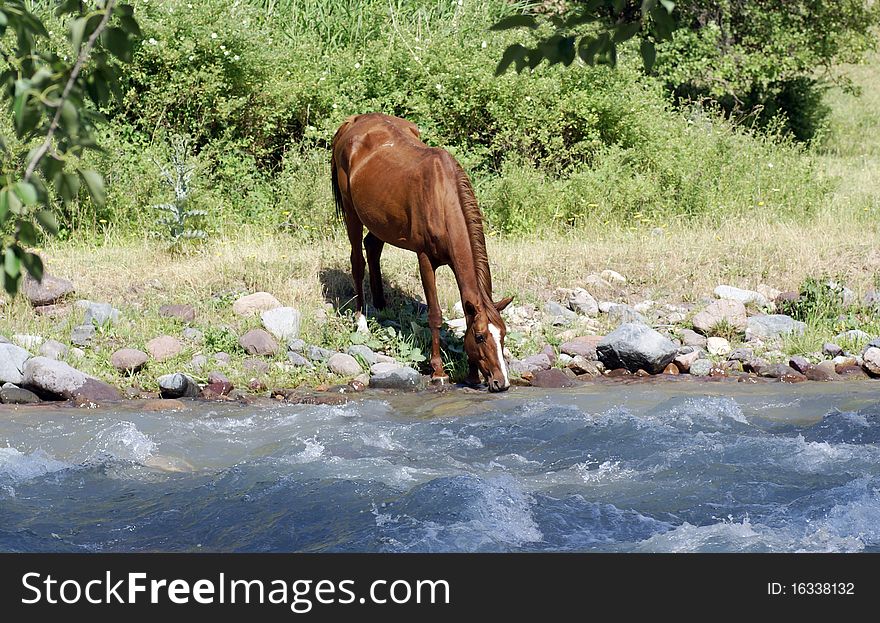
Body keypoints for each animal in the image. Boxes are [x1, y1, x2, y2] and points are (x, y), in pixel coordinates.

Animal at [330, 112, 512, 392]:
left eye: (502, 335)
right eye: (481, 337)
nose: (501, 382)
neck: (441, 198)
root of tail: (355, 121)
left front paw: (471, 374)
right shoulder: (425, 259)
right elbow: (435, 314)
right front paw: (438, 370)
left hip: (379, 220)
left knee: (373, 246)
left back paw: (381, 306)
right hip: (352, 214)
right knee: (357, 262)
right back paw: (362, 322)